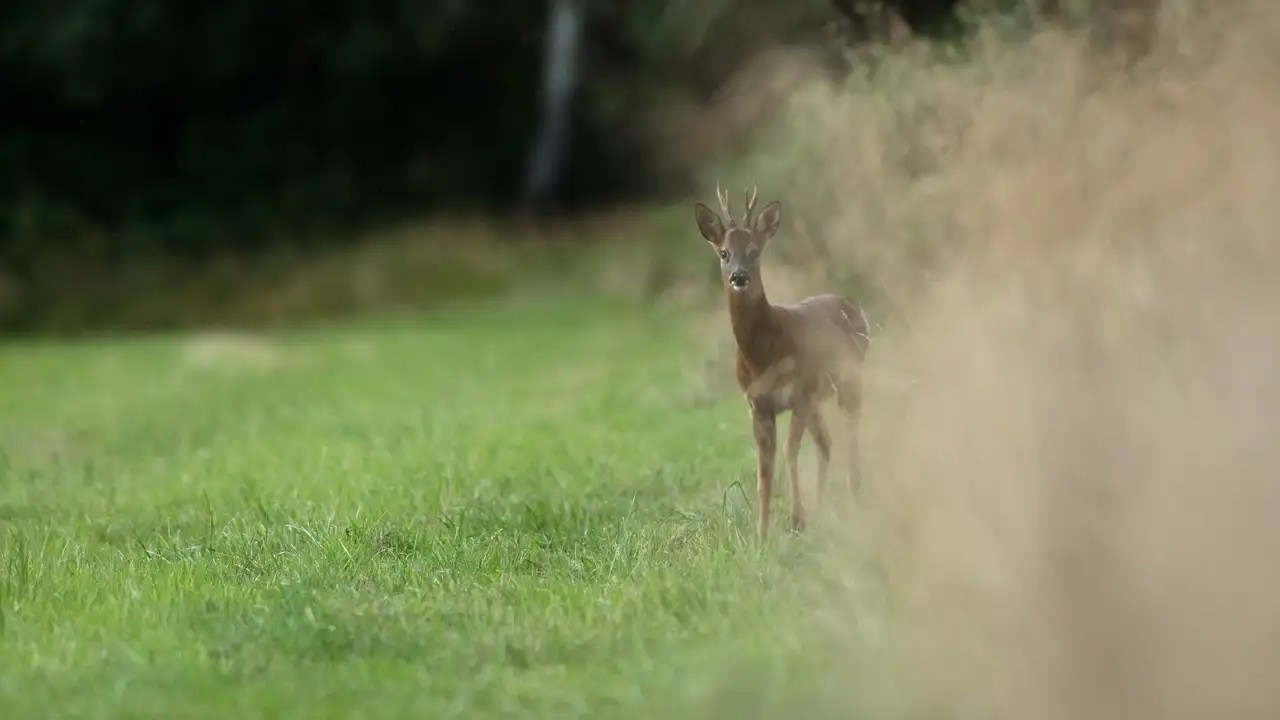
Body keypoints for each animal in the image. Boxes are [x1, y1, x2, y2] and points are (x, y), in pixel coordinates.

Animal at [695, 182, 870, 538]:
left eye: (754, 250)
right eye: (724, 253)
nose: (739, 277)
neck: (762, 356)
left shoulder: (798, 393)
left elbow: (790, 451)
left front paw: (796, 519)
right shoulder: (758, 405)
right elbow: (764, 468)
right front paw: (761, 533)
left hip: (848, 379)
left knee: (850, 430)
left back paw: (853, 494)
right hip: (818, 399)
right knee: (826, 442)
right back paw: (823, 506)